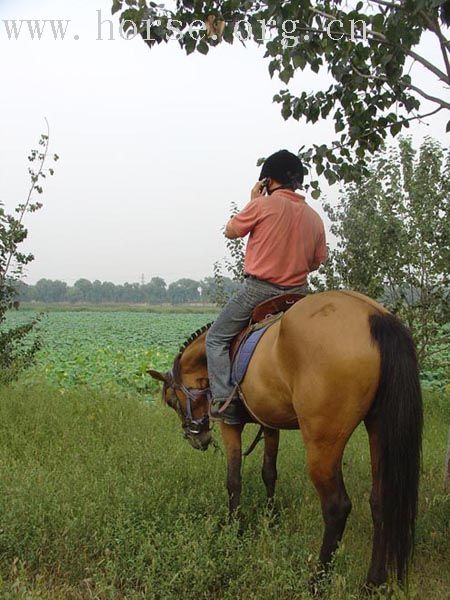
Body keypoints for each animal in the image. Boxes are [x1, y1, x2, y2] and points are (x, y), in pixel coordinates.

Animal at [148, 288, 422, 588]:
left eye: (171, 401)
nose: (196, 438)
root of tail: (375, 316)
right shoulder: (270, 424)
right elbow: (269, 472)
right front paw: (271, 518)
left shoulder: (230, 425)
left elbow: (233, 480)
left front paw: (234, 528)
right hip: (378, 429)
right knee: (381, 502)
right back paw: (373, 581)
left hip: (323, 445)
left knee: (337, 507)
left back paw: (318, 579)